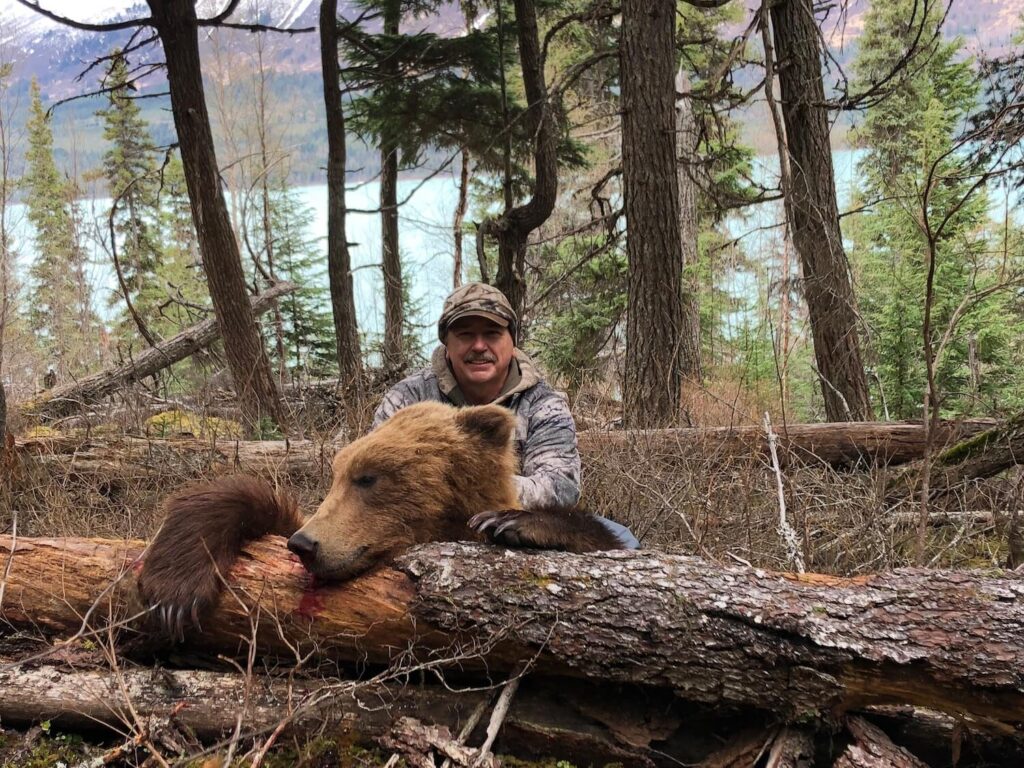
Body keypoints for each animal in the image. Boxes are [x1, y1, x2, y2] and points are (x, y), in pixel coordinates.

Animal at [138, 403, 622, 638]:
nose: (304, 545)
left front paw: (512, 522)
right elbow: (241, 498)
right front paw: (173, 594)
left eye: (368, 476)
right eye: (337, 473)